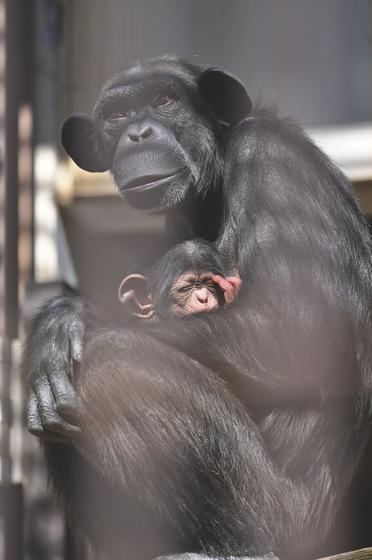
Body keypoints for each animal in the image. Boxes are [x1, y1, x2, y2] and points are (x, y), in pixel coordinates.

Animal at [22, 55, 372, 560]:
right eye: (117, 116)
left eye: (164, 101)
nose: (139, 132)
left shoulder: (275, 165)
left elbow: (298, 331)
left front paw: (66, 317)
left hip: (284, 516)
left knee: (114, 367)